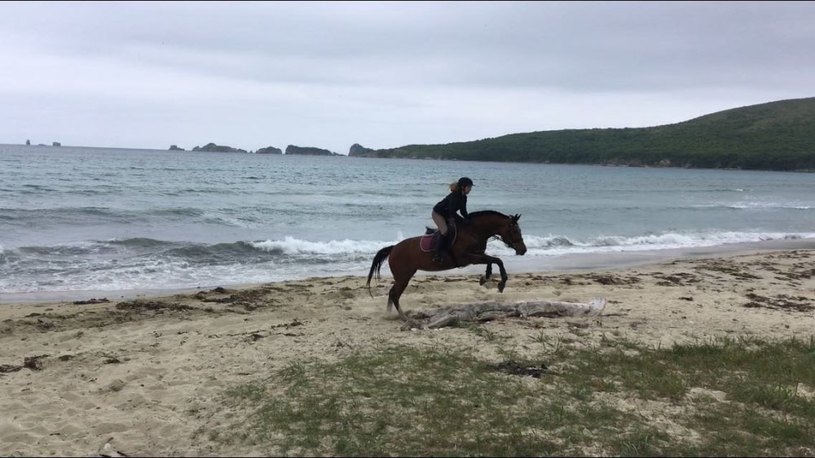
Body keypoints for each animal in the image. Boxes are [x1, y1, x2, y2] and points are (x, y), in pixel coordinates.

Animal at [366, 210, 527, 321]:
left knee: (392, 292)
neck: (474, 231)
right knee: (394, 294)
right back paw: (403, 316)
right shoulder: (467, 258)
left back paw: (390, 314)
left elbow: (491, 260)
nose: (523, 250)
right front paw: (501, 283)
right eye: (515, 230)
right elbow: (497, 260)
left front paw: (485, 278)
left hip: (404, 276)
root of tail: (393, 248)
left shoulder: (477, 255)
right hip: (403, 277)